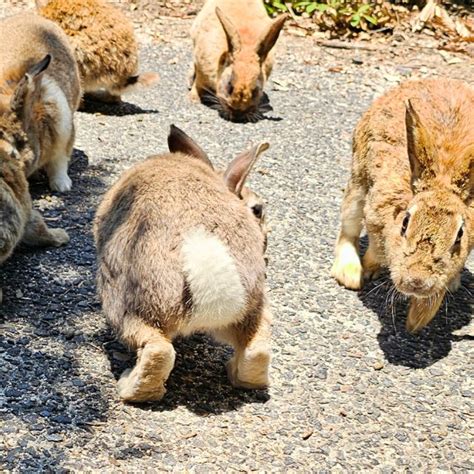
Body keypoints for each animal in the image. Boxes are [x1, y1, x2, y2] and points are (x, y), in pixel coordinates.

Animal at [93, 124, 270, 402]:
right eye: (258, 209)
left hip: (130, 306)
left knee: (158, 352)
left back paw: (130, 387)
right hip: (251, 307)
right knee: (257, 350)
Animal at [332, 78, 472, 334]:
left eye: (459, 236)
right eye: (405, 223)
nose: (416, 281)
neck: (442, 179)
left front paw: (416, 320)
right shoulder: (376, 213)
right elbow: (376, 249)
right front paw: (369, 268)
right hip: (357, 182)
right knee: (348, 229)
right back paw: (350, 273)